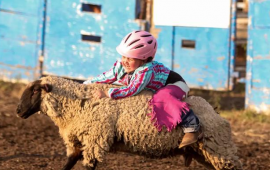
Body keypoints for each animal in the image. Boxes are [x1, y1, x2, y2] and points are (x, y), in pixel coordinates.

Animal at [16, 76, 243, 170]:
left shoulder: (96, 140)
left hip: (218, 147)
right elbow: (68, 164)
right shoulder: (78, 142)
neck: (77, 103)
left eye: (34, 91)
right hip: (204, 152)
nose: (18, 111)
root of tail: (215, 111)